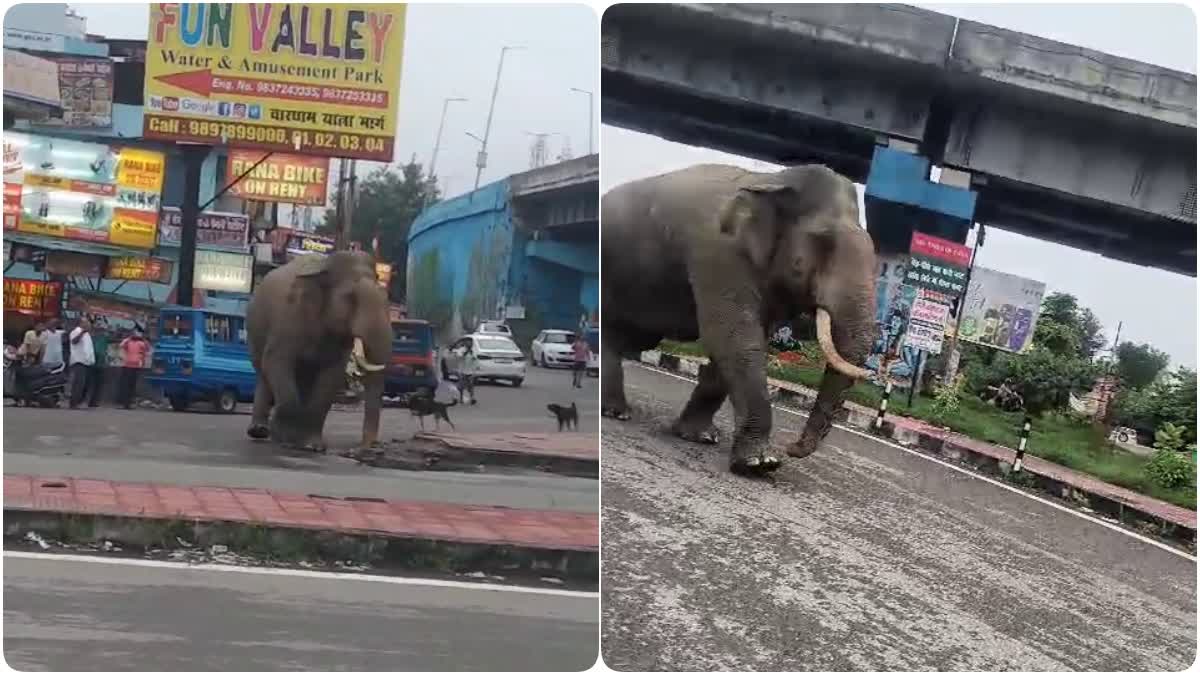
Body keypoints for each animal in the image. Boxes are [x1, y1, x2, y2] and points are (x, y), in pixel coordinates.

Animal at [244, 249, 391, 449]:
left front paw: (313, 446)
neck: (325, 266)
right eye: (350, 297)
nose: (368, 447)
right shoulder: (289, 318)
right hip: (255, 332)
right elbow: (277, 361)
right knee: (264, 372)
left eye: (386, 299)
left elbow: (331, 376)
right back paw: (260, 431)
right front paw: (285, 440)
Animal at [604, 162, 878, 473]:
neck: (773, 180)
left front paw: (699, 437)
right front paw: (760, 463)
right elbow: (732, 336)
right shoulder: (718, 255)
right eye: (823, 243)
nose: (792, 448)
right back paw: (615, 412)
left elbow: (743, 339)